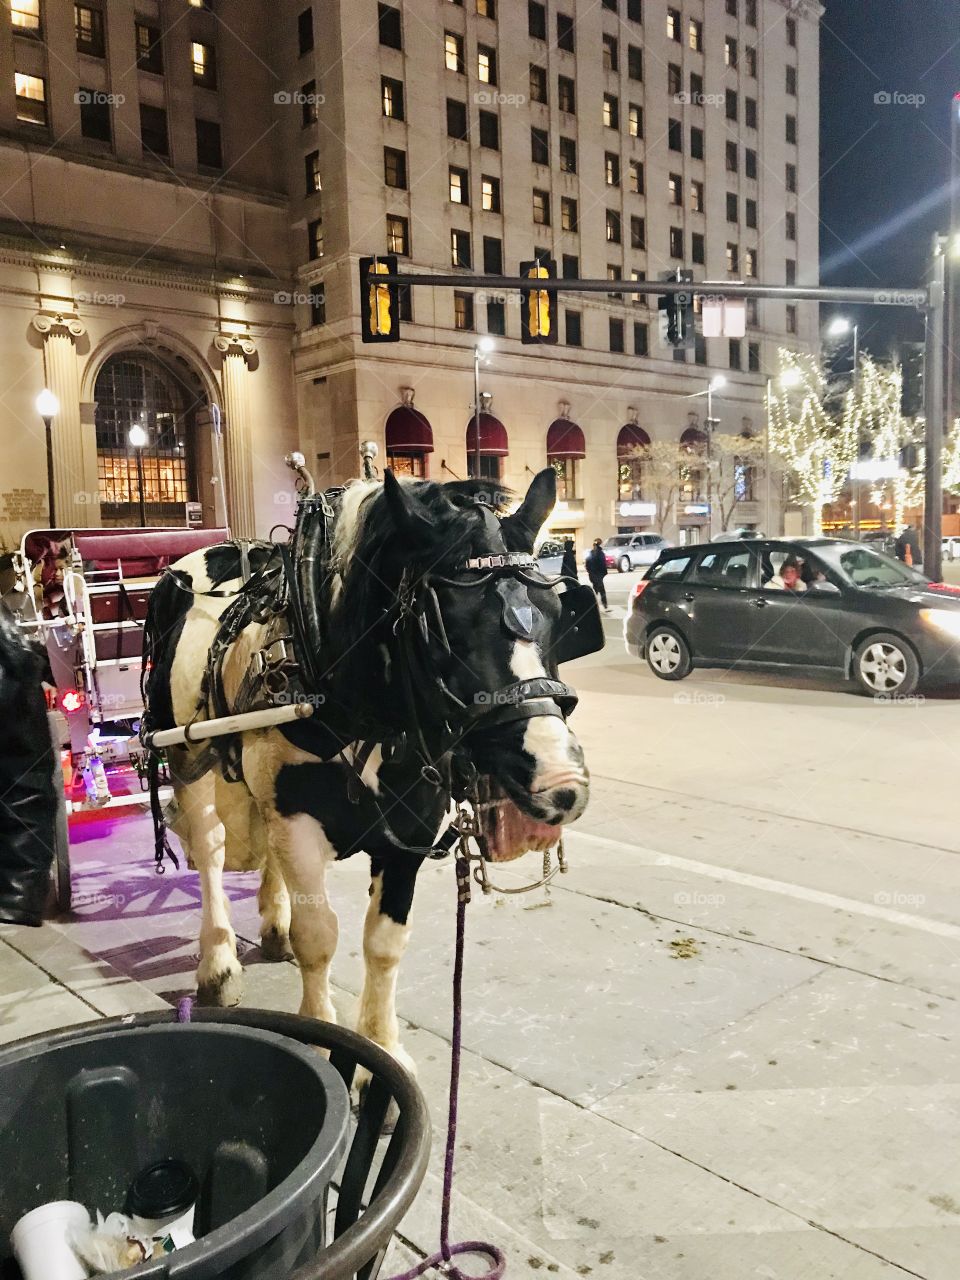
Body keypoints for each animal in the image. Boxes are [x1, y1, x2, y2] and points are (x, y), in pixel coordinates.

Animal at [144, 468, 591, 1070]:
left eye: (558, 613)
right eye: (445, 627)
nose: (560, 783)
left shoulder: (410, 828)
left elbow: (383, 942)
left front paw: (380, 1047)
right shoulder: (295, 817)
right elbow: (319, 937)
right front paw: (318, 1036)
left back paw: (272, 920)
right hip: (186, 756)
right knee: (210, 848)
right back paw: (217, 962)